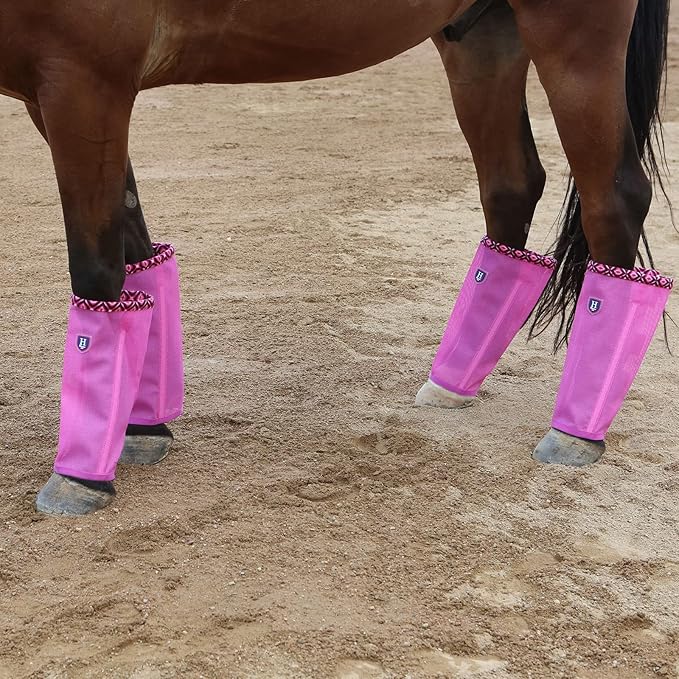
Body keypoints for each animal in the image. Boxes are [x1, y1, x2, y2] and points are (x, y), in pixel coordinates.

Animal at [0, 0, 672, 515]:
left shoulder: (85, 82)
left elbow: (98, 268)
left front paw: (82, 474)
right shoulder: (58, 95)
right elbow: (138, 255)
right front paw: (139, 428)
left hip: (573, 37)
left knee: (613, 201)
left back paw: (575, 433)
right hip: (483, 39)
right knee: (511, 186)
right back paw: (453, 383)